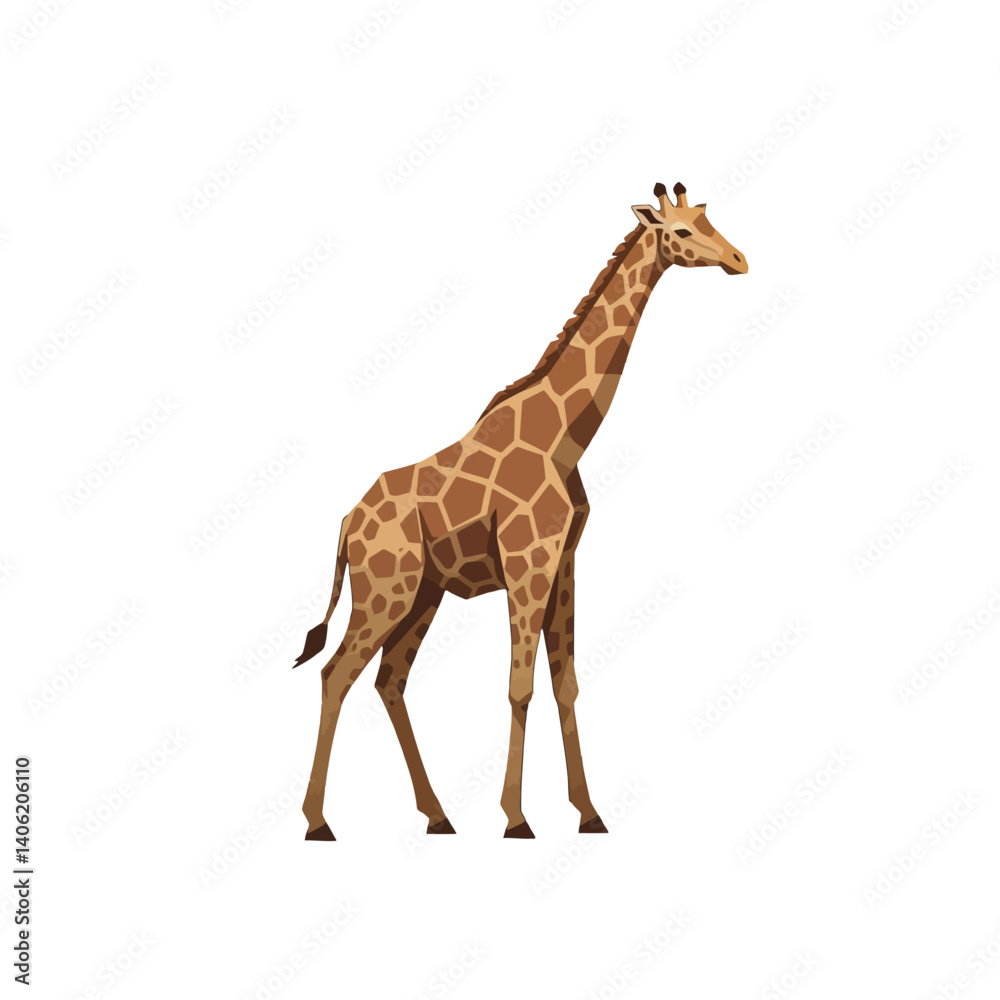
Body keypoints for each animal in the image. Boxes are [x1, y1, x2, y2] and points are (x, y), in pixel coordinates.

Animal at [293, 182, 747, 841]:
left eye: (710, 219)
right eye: (682, 231)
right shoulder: (526, 563)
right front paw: (516, 819)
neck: (565, 435)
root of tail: (348, 522)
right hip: (387, 589)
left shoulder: (563, 565)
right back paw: (318, 822)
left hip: (423, 594)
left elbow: (566, 685)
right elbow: (520, 686)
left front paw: (589, 812)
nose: (740, 260)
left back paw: (438, 816)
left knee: (388, 681)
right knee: (336, 675)